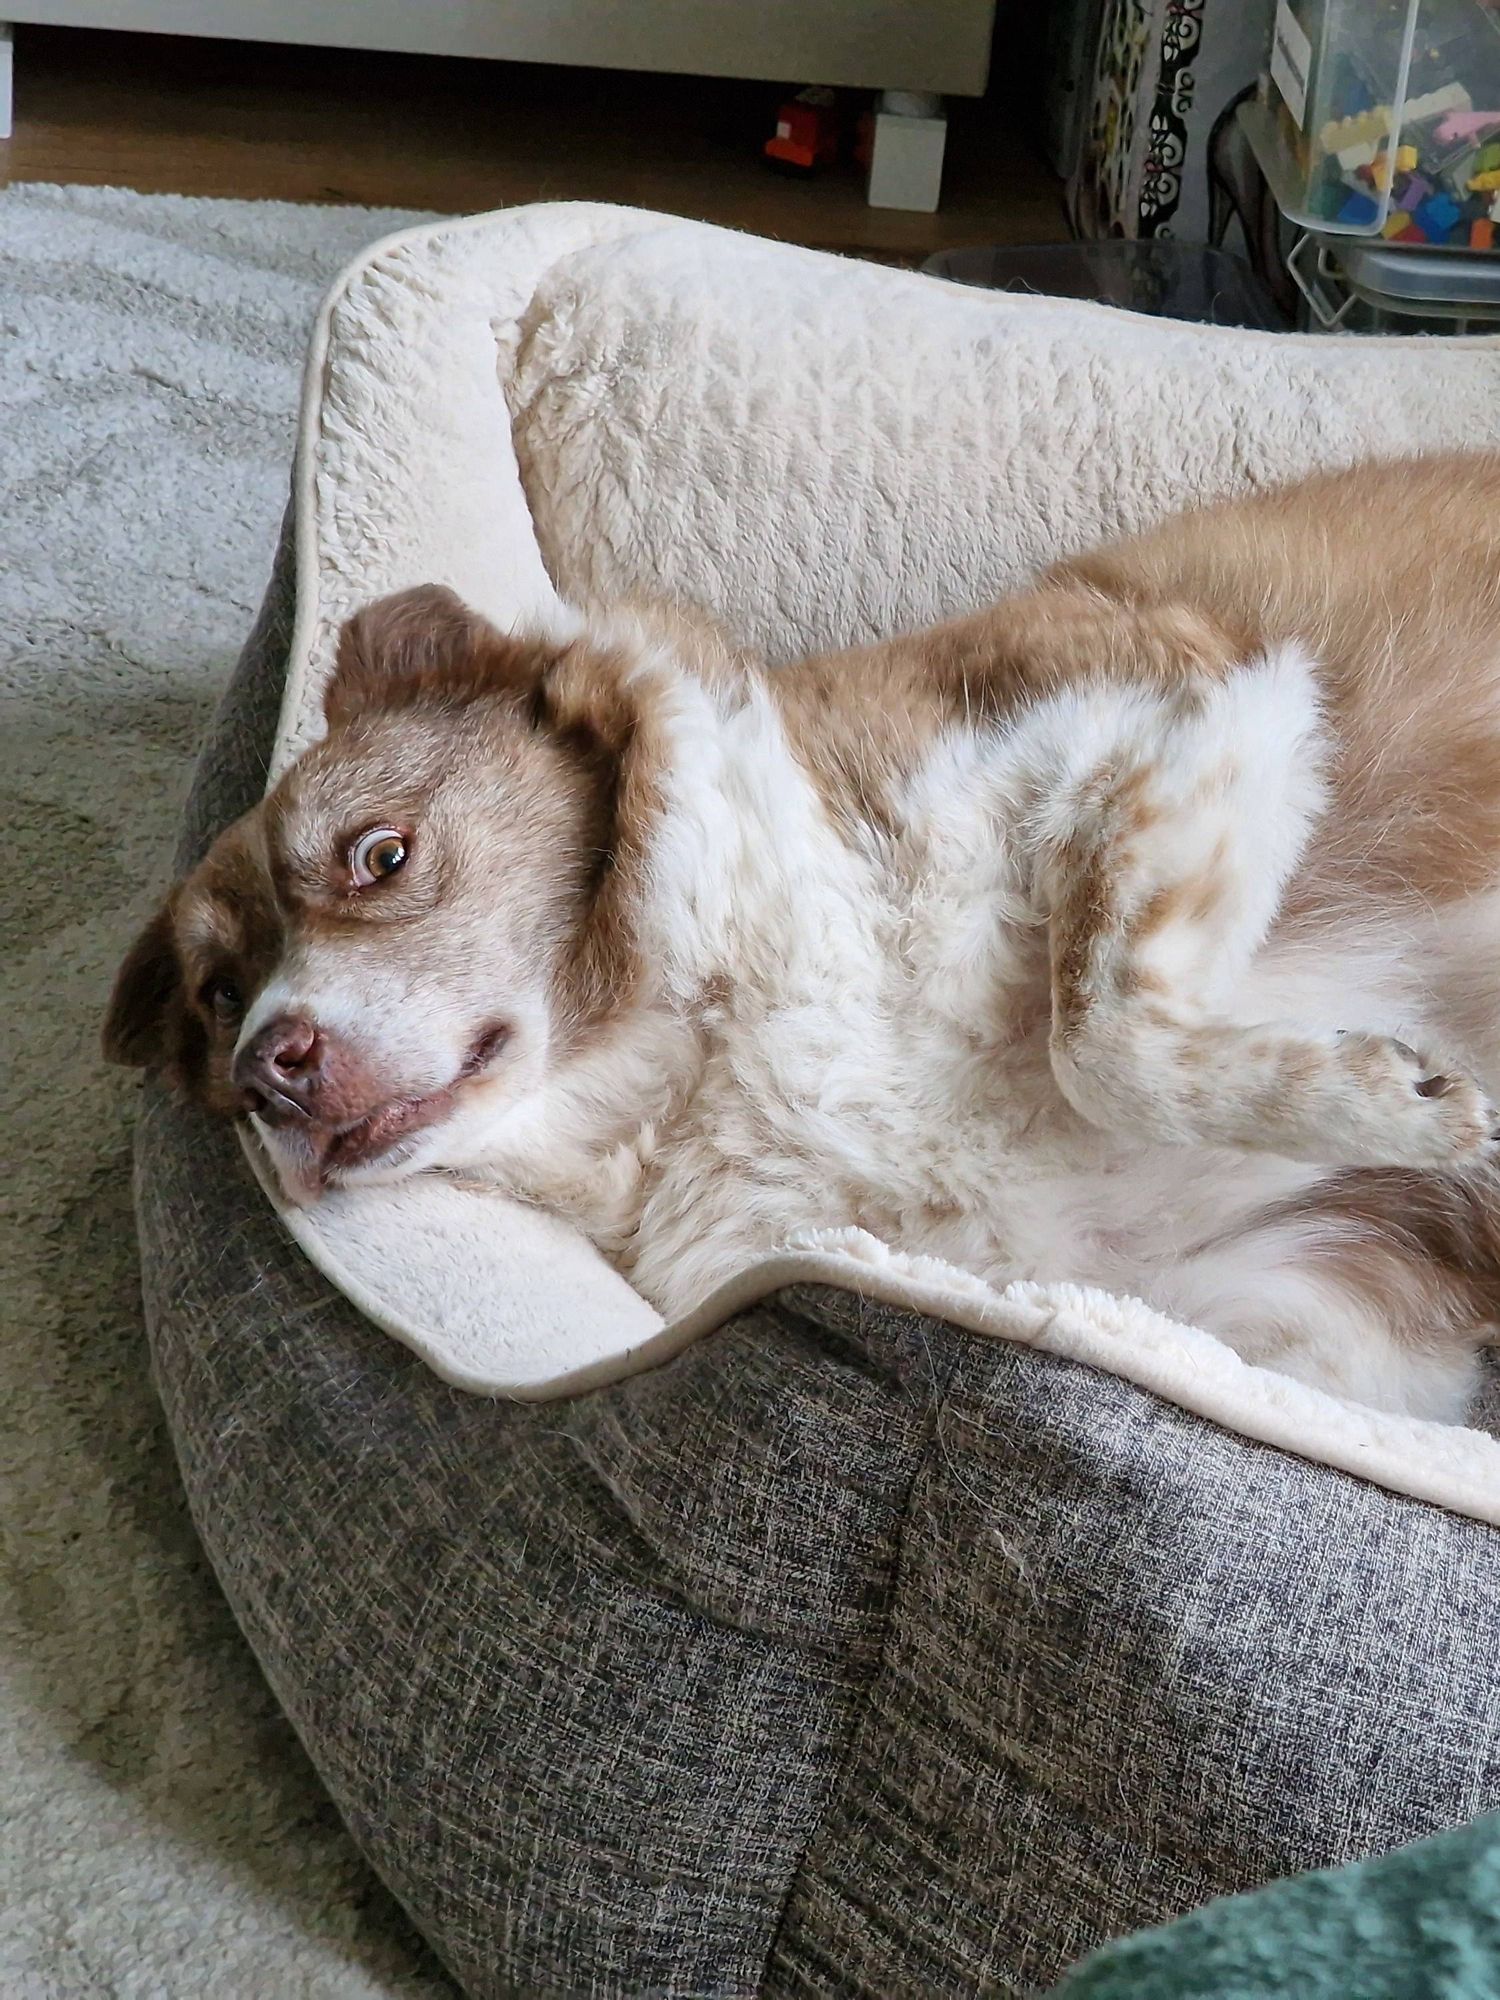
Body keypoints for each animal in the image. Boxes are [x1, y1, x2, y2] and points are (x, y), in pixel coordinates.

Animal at [108, 454, 1500, 1424]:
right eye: (219, 996)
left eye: (380, 853)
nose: (267, 1071)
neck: (708, 1044)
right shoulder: (1268, 1310)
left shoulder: (1185, 694)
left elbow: (1099, 1032)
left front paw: (1398, 1100)